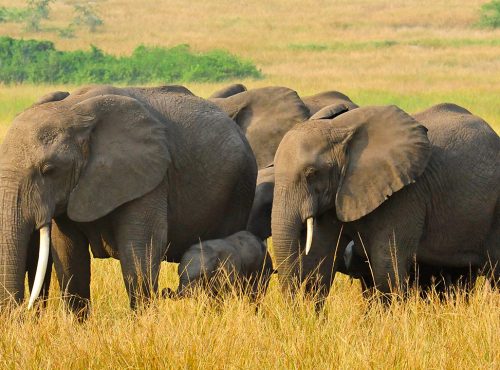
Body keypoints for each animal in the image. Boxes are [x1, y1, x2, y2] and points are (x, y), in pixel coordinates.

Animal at [0, 83, 258, 312]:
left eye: (49, 170)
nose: (22, 314)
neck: (73, 109)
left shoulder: (149, 175)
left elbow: (140, 249)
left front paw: (144, 324)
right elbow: (68, 252)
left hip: (240, 186)